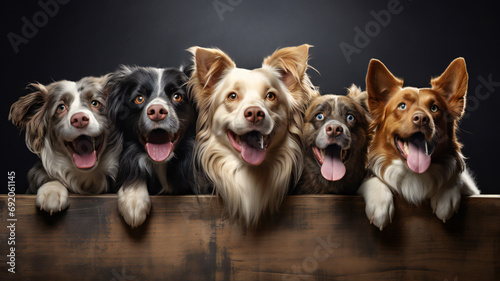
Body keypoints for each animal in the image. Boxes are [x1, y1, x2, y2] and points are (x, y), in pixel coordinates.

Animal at [358, 58, 478, 229]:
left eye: (434, 108)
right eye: (402, 106)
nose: (421, 118)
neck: (414, 173)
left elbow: (459, 177)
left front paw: (446, 194)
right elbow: (372, 179)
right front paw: (379, 204)